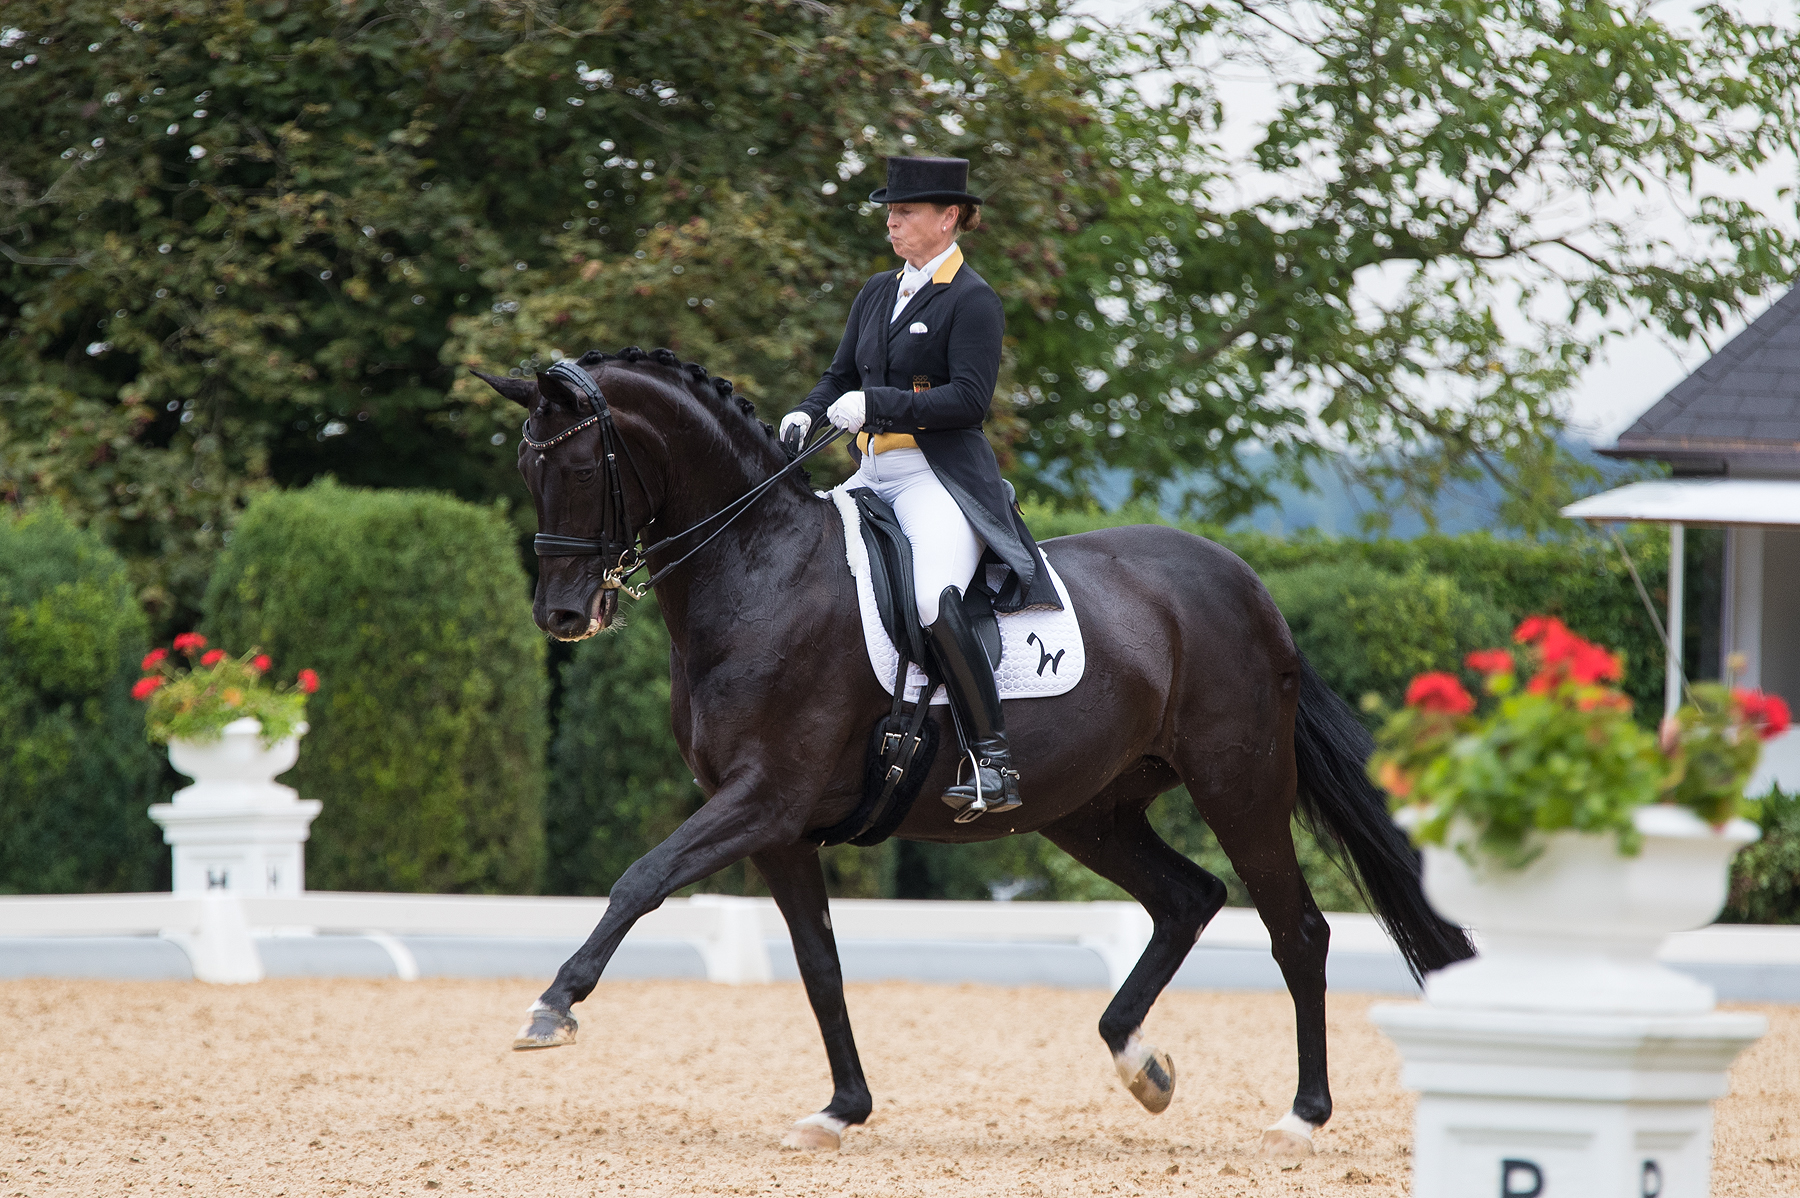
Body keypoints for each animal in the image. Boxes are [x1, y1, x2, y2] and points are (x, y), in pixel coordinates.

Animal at [478, 347, 1476, 1158]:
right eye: (527, 466)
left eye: (579, 466)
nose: (562, 616)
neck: (761, 572)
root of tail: (1250, 587)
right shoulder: (778, 829)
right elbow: (819, 964)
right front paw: (841, 1109)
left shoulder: (764, 798)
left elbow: (639, 881)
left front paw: (551, 1007)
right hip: (1090, 810)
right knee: (1189, 899)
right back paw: (1141, 1064)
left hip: (1239, 782)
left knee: (1294, 929)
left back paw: (1301, 1116)